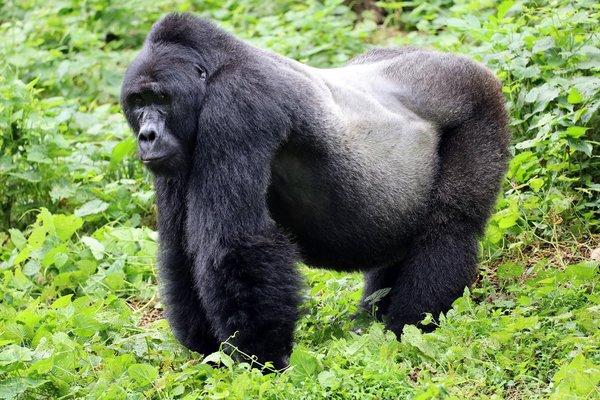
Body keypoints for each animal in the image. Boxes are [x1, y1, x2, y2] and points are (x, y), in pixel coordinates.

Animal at [119, 13, 508, 368]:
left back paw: (409, 325)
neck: (215, 68)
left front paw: (262, 357)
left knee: (449, 227)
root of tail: (467, 62)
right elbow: (179, 250)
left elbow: (235, 242)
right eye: (138, 102)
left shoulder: (238, 102)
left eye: (161, 98)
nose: (147, 135)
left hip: (478, 100)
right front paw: (209, 350)